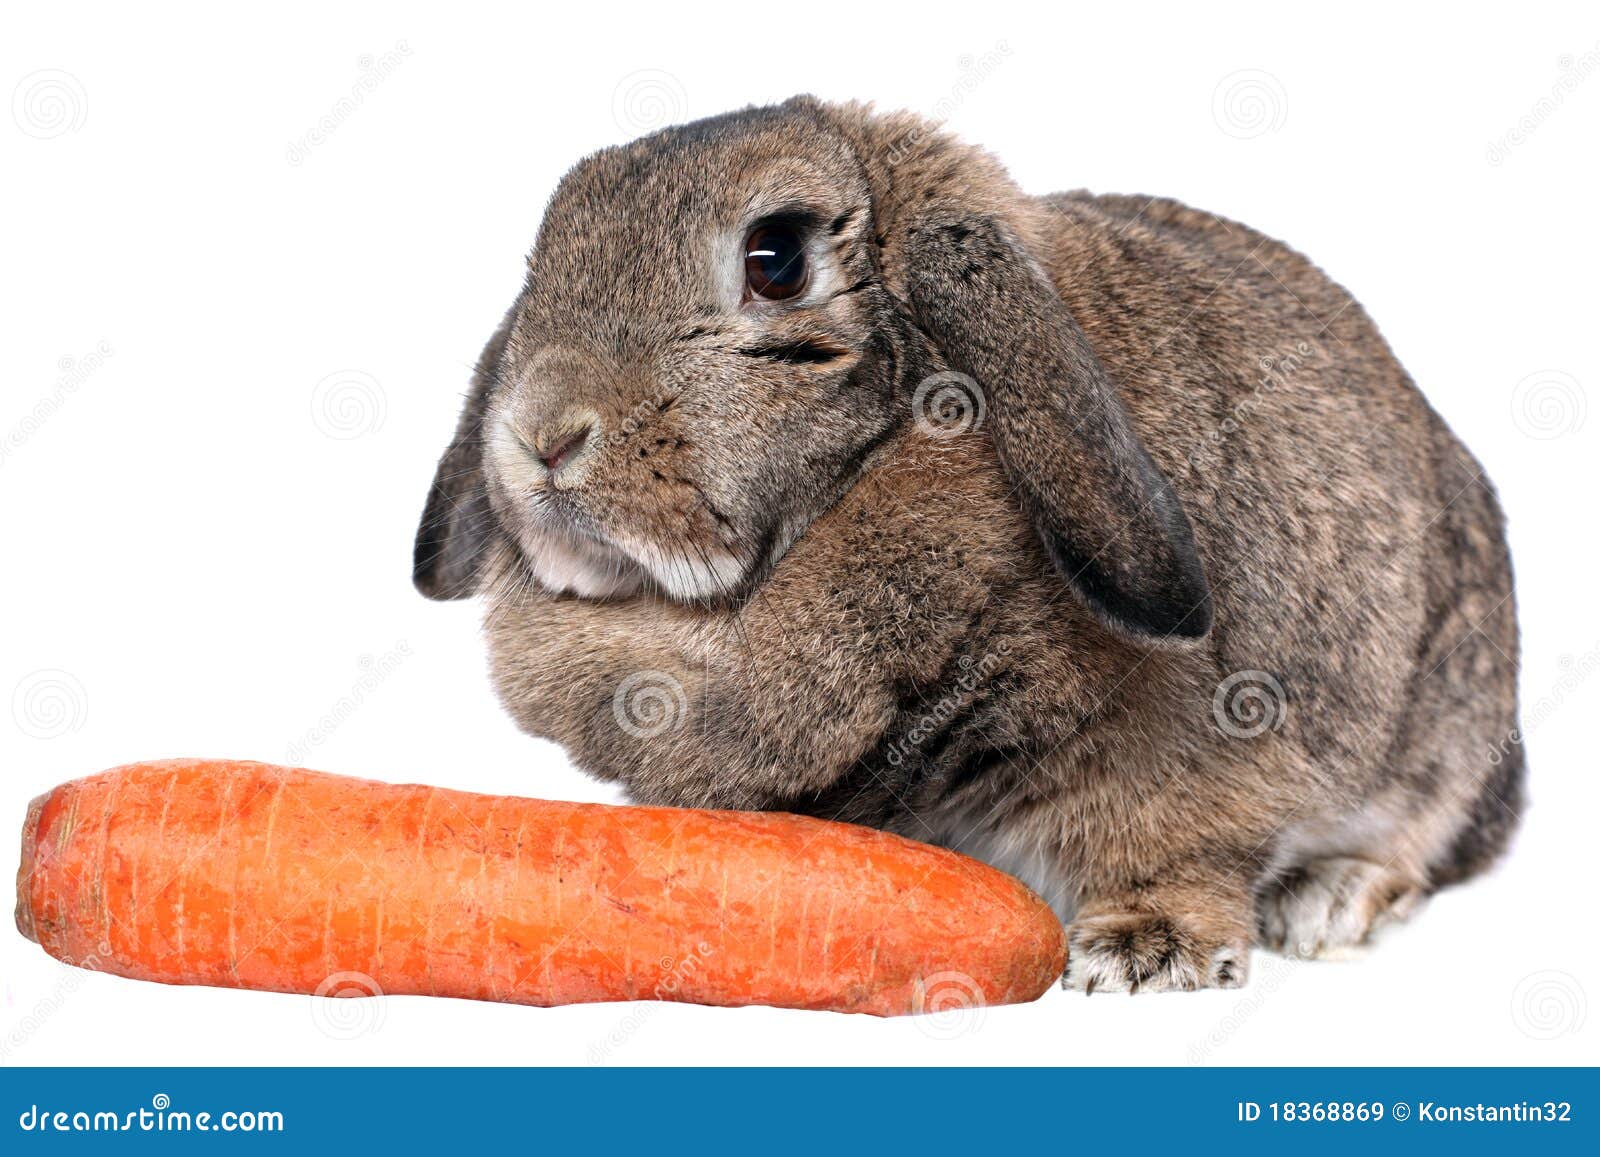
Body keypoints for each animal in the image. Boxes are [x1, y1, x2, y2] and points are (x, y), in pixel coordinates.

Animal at [413, 97, 1522, 992]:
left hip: (1449, 721)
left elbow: (1183, 842)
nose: (540, 435)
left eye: (776, 258)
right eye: (541, 264)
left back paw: (1325, 900)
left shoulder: (1208, 747)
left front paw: (1145, 951)